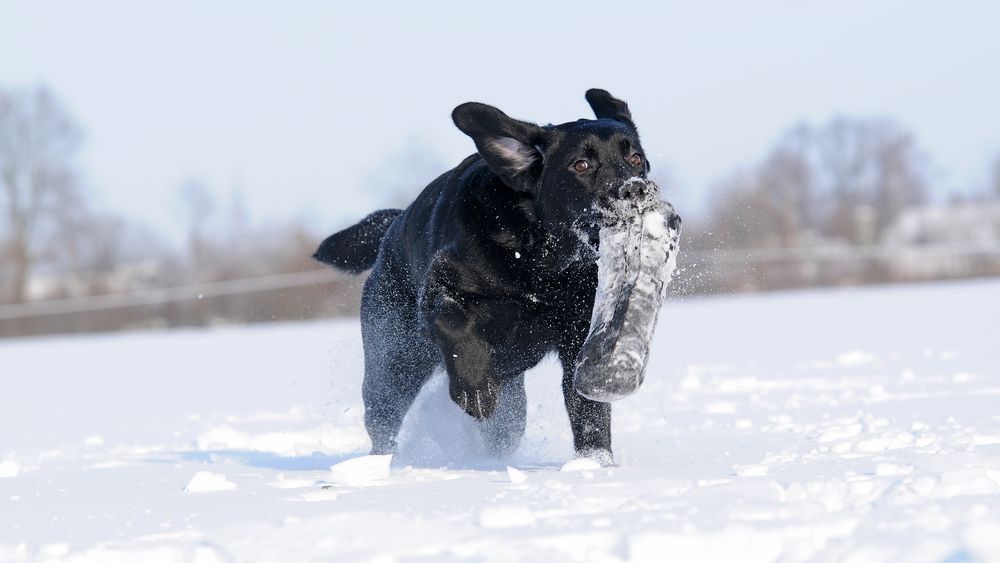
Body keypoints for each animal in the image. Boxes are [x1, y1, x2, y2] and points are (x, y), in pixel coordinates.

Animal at [318, 89, 680, 462]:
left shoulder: (578, 341)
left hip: (509, 402)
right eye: (581, 165)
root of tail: (391, 229)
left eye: (636, 158)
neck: (540, 261)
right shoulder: (441, 286)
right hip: (394, 364)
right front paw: (474, 389)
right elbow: (454, 321)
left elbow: (590, 416)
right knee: (382, 420)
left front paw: (595, 465)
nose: (637, 190)